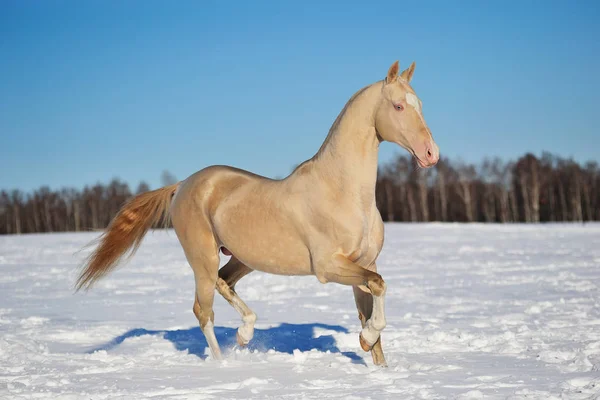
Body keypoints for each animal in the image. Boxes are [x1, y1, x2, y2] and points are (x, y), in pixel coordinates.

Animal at [76, 61, 440, 368]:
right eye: (398, 106)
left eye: (420, 105)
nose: (430, 154)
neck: (343, 192)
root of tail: (183, 185)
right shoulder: (328, 267)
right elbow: (379, 288)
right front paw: (366, 339)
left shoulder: (366, 263)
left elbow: (374, 307)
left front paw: (375, 360)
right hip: (202, 257)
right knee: (203, 310)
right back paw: (222, 364)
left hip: (243, 257)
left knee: (224, 283)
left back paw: (245, 334)